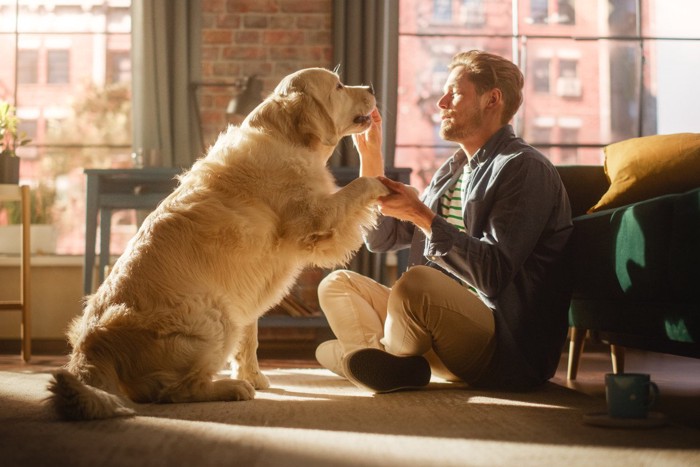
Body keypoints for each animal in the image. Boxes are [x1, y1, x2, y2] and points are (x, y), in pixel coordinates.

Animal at [47, 67, 392, 422]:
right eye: (338, 86)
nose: (371, 87)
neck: (287, 139)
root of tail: (91, 346)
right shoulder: (316, 220)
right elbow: (358, 186)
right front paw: (382, 183)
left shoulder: (249, 293)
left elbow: (250, 340)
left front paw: (253, 375)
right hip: (214, 315)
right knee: (171, 391)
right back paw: (229, 389)